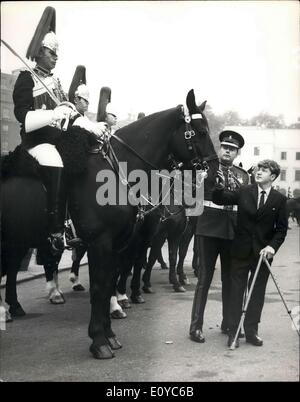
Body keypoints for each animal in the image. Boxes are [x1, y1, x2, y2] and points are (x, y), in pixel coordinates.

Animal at [1, 89, 218, 360]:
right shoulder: (101, 243)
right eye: (201, 131)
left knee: (10, 269)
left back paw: (14, 306)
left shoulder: (118, 244)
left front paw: (110, 334)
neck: (117, 174)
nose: (216, 173)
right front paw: (99, 341)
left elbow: (109, 284)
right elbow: (100, 287)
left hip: (18, 238)